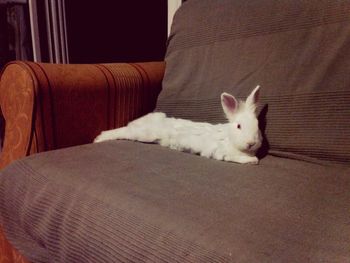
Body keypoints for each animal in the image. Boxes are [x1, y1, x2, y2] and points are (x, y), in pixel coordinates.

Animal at [93, 86, 262, 165]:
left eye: (258, 126)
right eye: (239, 126)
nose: (251, 143)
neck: (230, 138)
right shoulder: (222, 153)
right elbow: (238, 158)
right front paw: (253, 160)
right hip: (144, 134)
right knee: (124, 131)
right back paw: (99, 138)